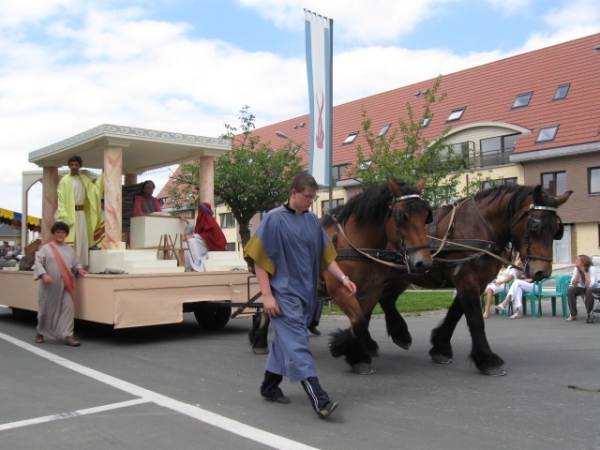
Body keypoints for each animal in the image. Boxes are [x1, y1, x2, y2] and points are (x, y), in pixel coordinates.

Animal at [246, 179, 434, 372]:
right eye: (403, 217)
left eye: (426, 216)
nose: (424, 263)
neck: (356, 245)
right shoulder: (340, 291)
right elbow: (359, 322)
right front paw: (349, 351)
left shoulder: (371, 291)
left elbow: (363, 320)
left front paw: (354, 349)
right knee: (268, 309)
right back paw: (260, 341)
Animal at [376, 184, 572, 376]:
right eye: (534, 226)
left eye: (557, 230)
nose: (542, 272)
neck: (479, 228)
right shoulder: (467, 281)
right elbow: (475, 319)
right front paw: (487, 360)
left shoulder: (478, 283)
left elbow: (455, 314)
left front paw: (440, 347)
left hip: (404, 275)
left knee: (386, 299)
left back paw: (397, 335)